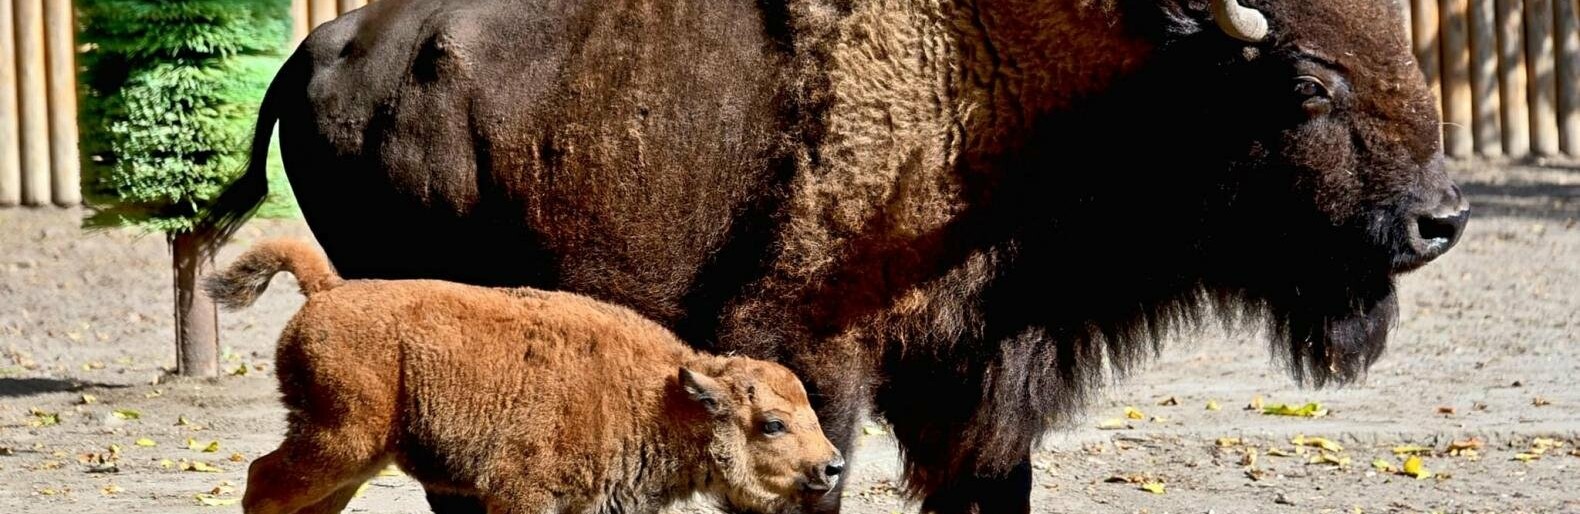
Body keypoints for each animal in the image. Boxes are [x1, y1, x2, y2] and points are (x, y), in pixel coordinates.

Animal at [203, 238, 846, 509]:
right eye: (772, 424)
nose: (833, 465)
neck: (660, 393)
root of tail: (328, 289)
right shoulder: (521, 496)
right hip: (338, 439)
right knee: (263, 481)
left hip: (358, 457)